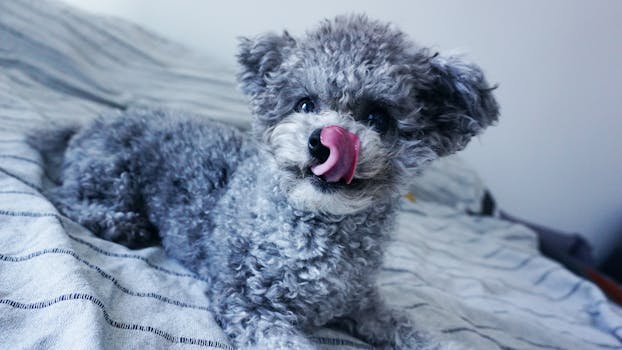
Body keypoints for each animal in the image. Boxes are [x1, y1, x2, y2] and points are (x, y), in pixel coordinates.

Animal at [33, 15, 502, 348]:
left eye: (377, 117)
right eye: (305, 103)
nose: (323, 140)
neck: (317, 231)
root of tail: (89, 125)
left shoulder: (362, 303)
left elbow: (407, 326)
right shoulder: (250, 303)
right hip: (112, 172)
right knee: (66, 196)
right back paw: (125, 223)